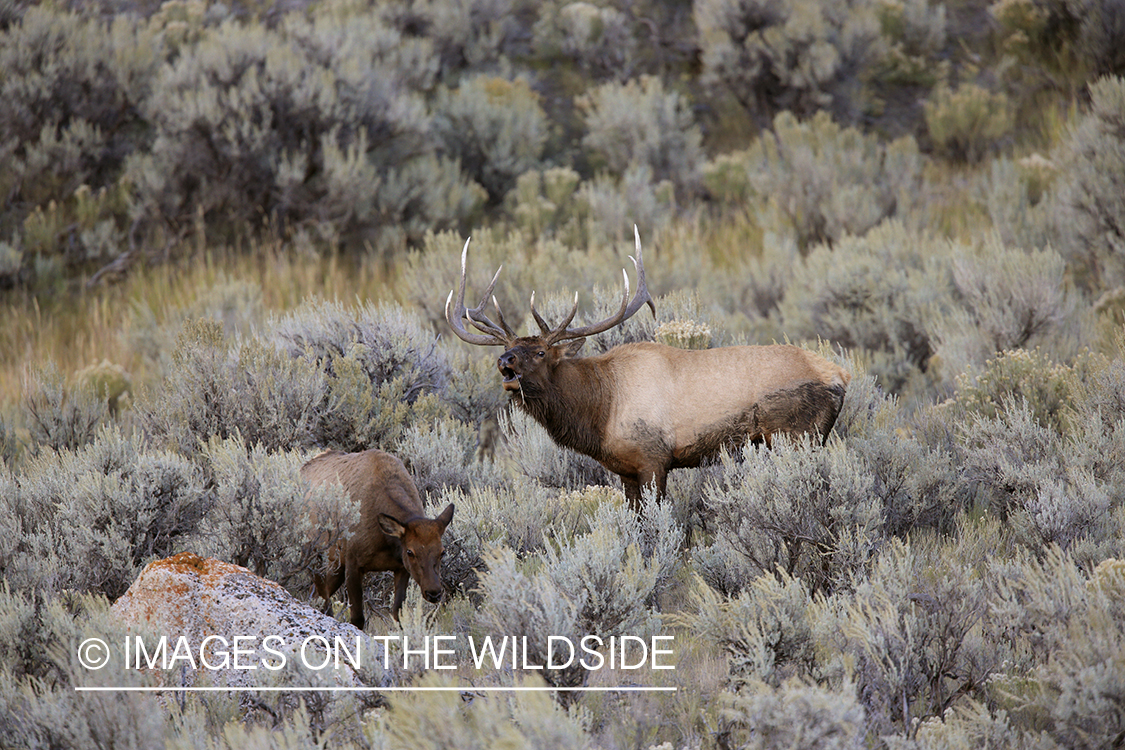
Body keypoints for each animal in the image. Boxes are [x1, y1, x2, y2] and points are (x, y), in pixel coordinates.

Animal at [301, 449, 454, 629]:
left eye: (442, 552)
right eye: (410, 552)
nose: (434, 592)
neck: (387, 543)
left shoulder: (401, 568)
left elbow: (398, 615)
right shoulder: (353, 563)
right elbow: (357, 618)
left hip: (335, 563)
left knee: (316, 593)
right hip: (314, 555)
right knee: (322, 595)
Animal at [445, 227, 851, 509]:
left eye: (542, 352)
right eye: (508, 347)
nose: (505, 362)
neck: (601, 410)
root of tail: (842, 377)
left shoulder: (653, 459)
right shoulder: (625, 469)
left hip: (797, 436)